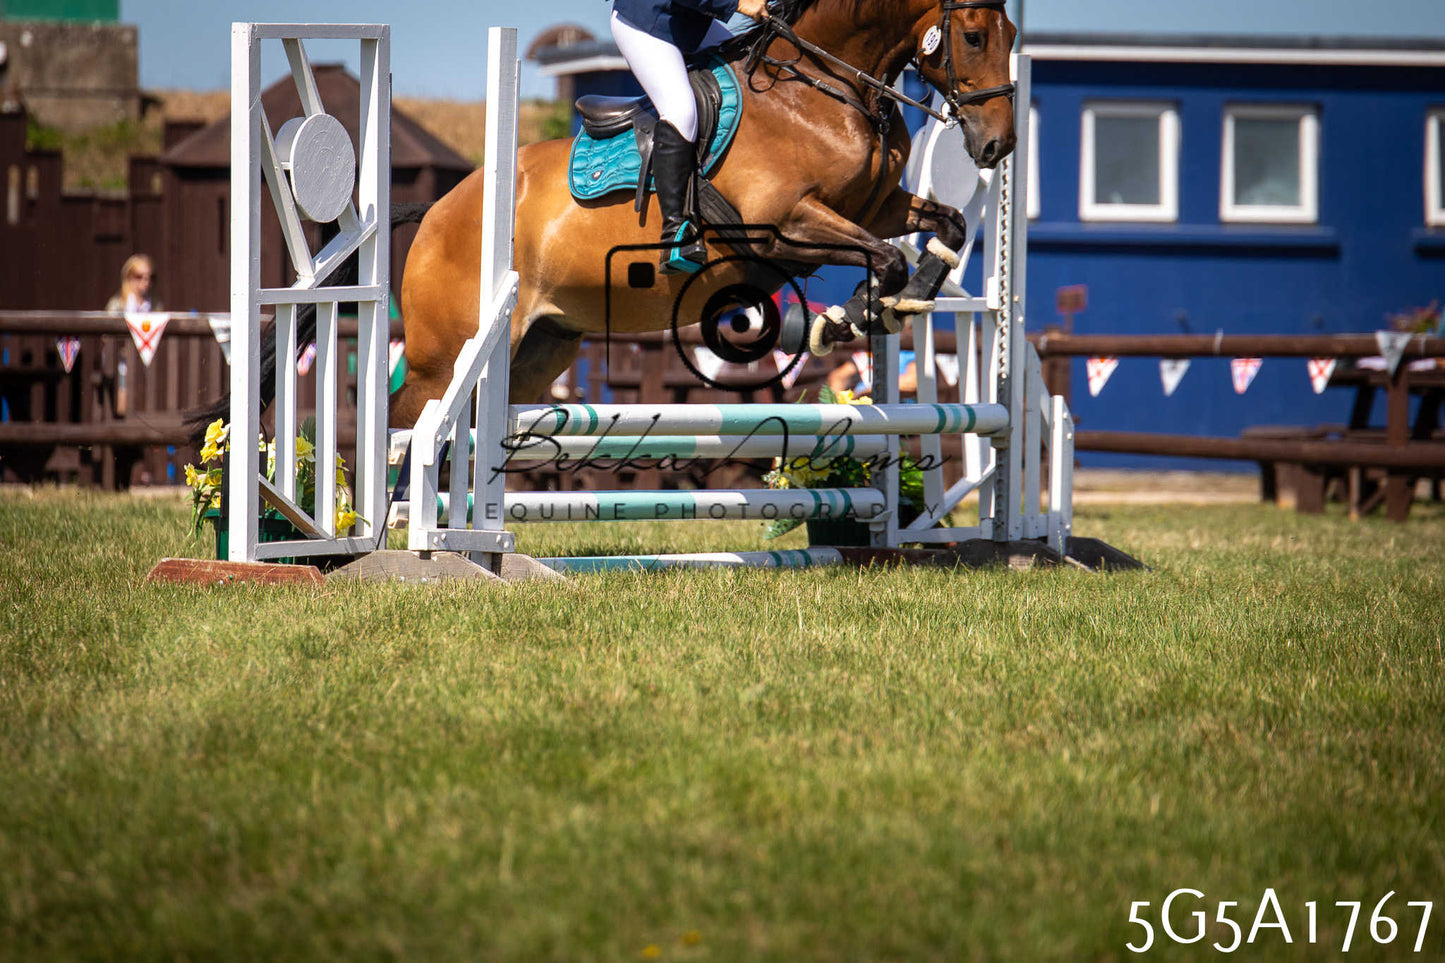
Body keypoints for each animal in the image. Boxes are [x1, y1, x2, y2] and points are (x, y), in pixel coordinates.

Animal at [388, 0, 1017, 427]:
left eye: (1012, 35)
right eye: (973, 36)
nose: (999, 146)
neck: (826, 89)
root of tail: (440, 209)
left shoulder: (878, 208)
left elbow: (945, 227)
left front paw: (899, 300)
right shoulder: (783, 225)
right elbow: (885, 258)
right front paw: (846, 318)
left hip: (543, 345)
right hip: (445, 358)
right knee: (407, 424)